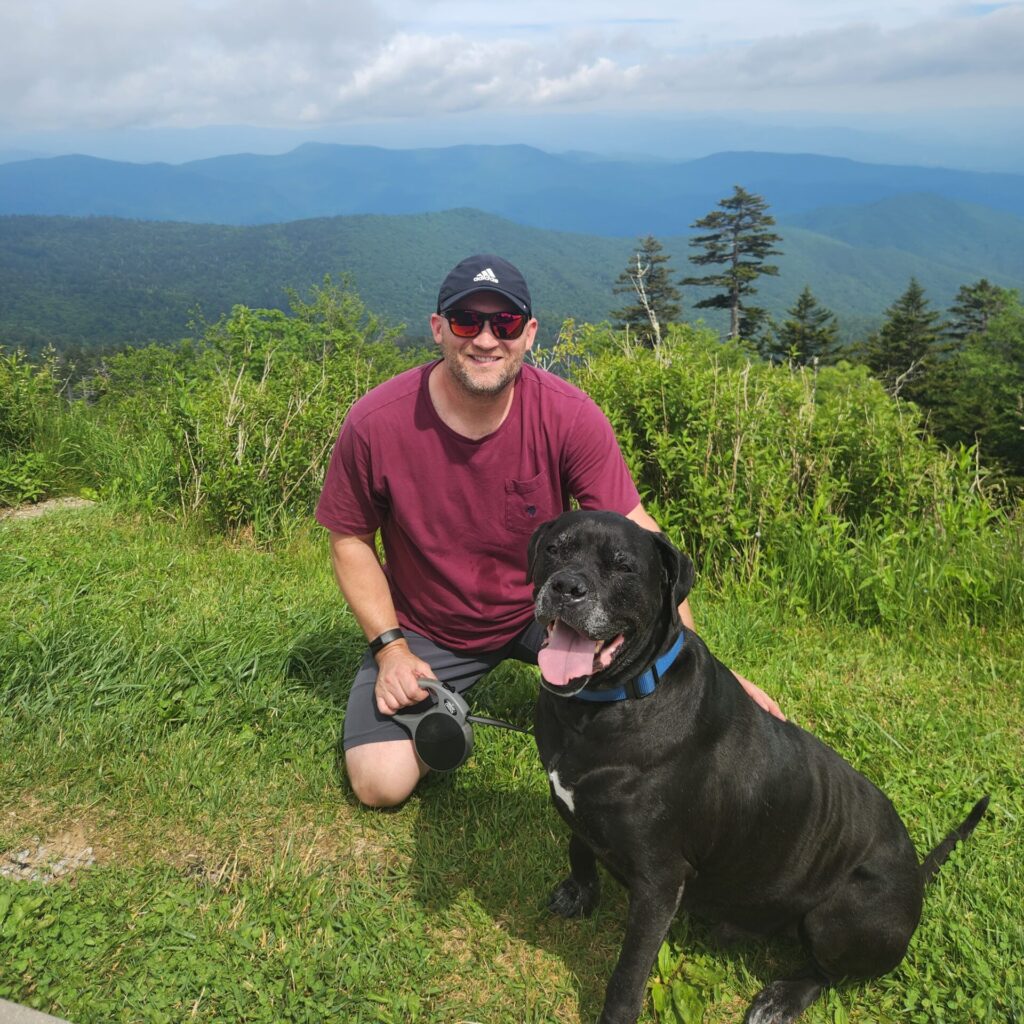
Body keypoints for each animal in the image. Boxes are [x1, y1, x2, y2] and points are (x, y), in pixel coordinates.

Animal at [528, 512, 983, 1024]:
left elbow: (628, 974)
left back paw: (782, 998)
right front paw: (580, 892)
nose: (566, 587)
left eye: (622, 565)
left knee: (829, 973)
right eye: (555, 549)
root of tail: (916, 879)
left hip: (840, 914)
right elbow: (578, 845)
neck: (609, 703)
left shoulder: (658, 883)